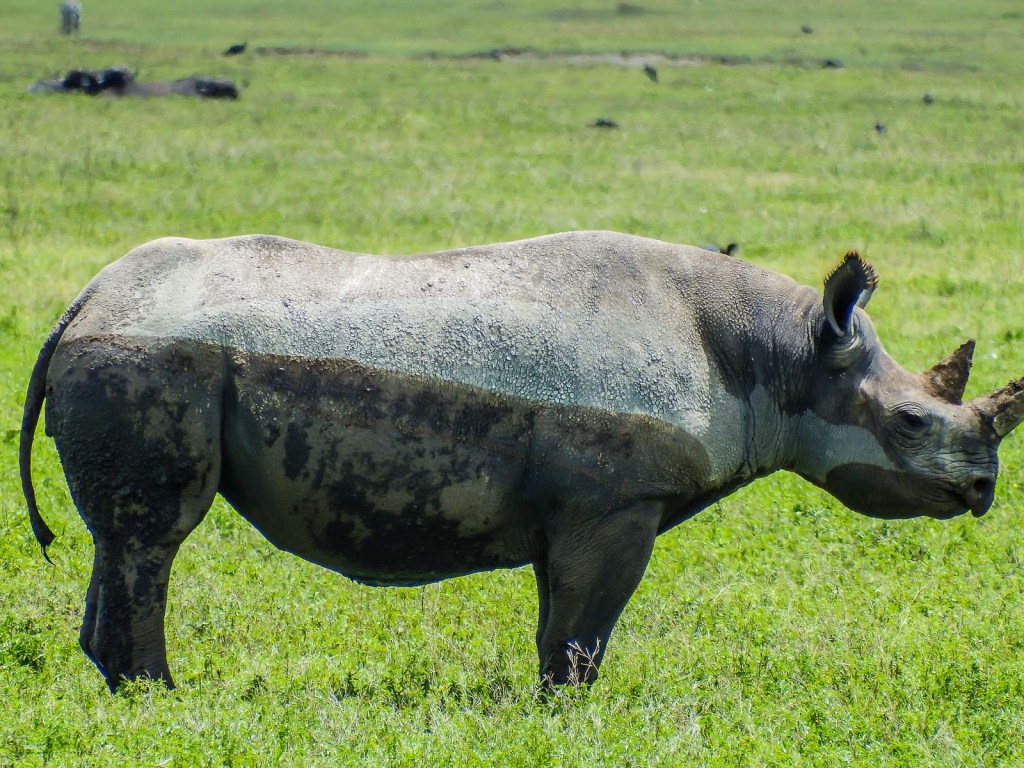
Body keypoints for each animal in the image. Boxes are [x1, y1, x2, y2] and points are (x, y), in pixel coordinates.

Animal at [20, 230, 1024, 691]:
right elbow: (585, 627)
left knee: (122, 542)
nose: (980, 492)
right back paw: (164, 699)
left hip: (140, 350)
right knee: (157, 536)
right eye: (909, 422)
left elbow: (561, 619)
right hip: (154, 359)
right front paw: (567, 716)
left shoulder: (580, 506)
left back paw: (128, 697)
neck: (778, 355)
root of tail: (85, 300)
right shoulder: (616, 500)